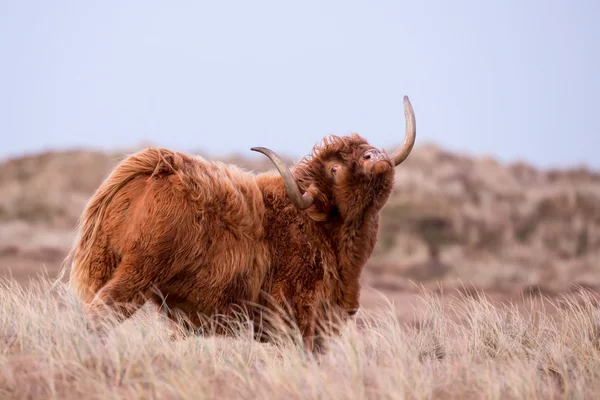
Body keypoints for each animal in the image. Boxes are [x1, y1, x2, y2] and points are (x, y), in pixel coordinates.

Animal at [62, 94, 418, 350]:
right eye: (334, 169)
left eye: (364, 148)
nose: (375, 156)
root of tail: (153, 169)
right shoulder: (298, 318)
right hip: (137, 274)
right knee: (99, 316)